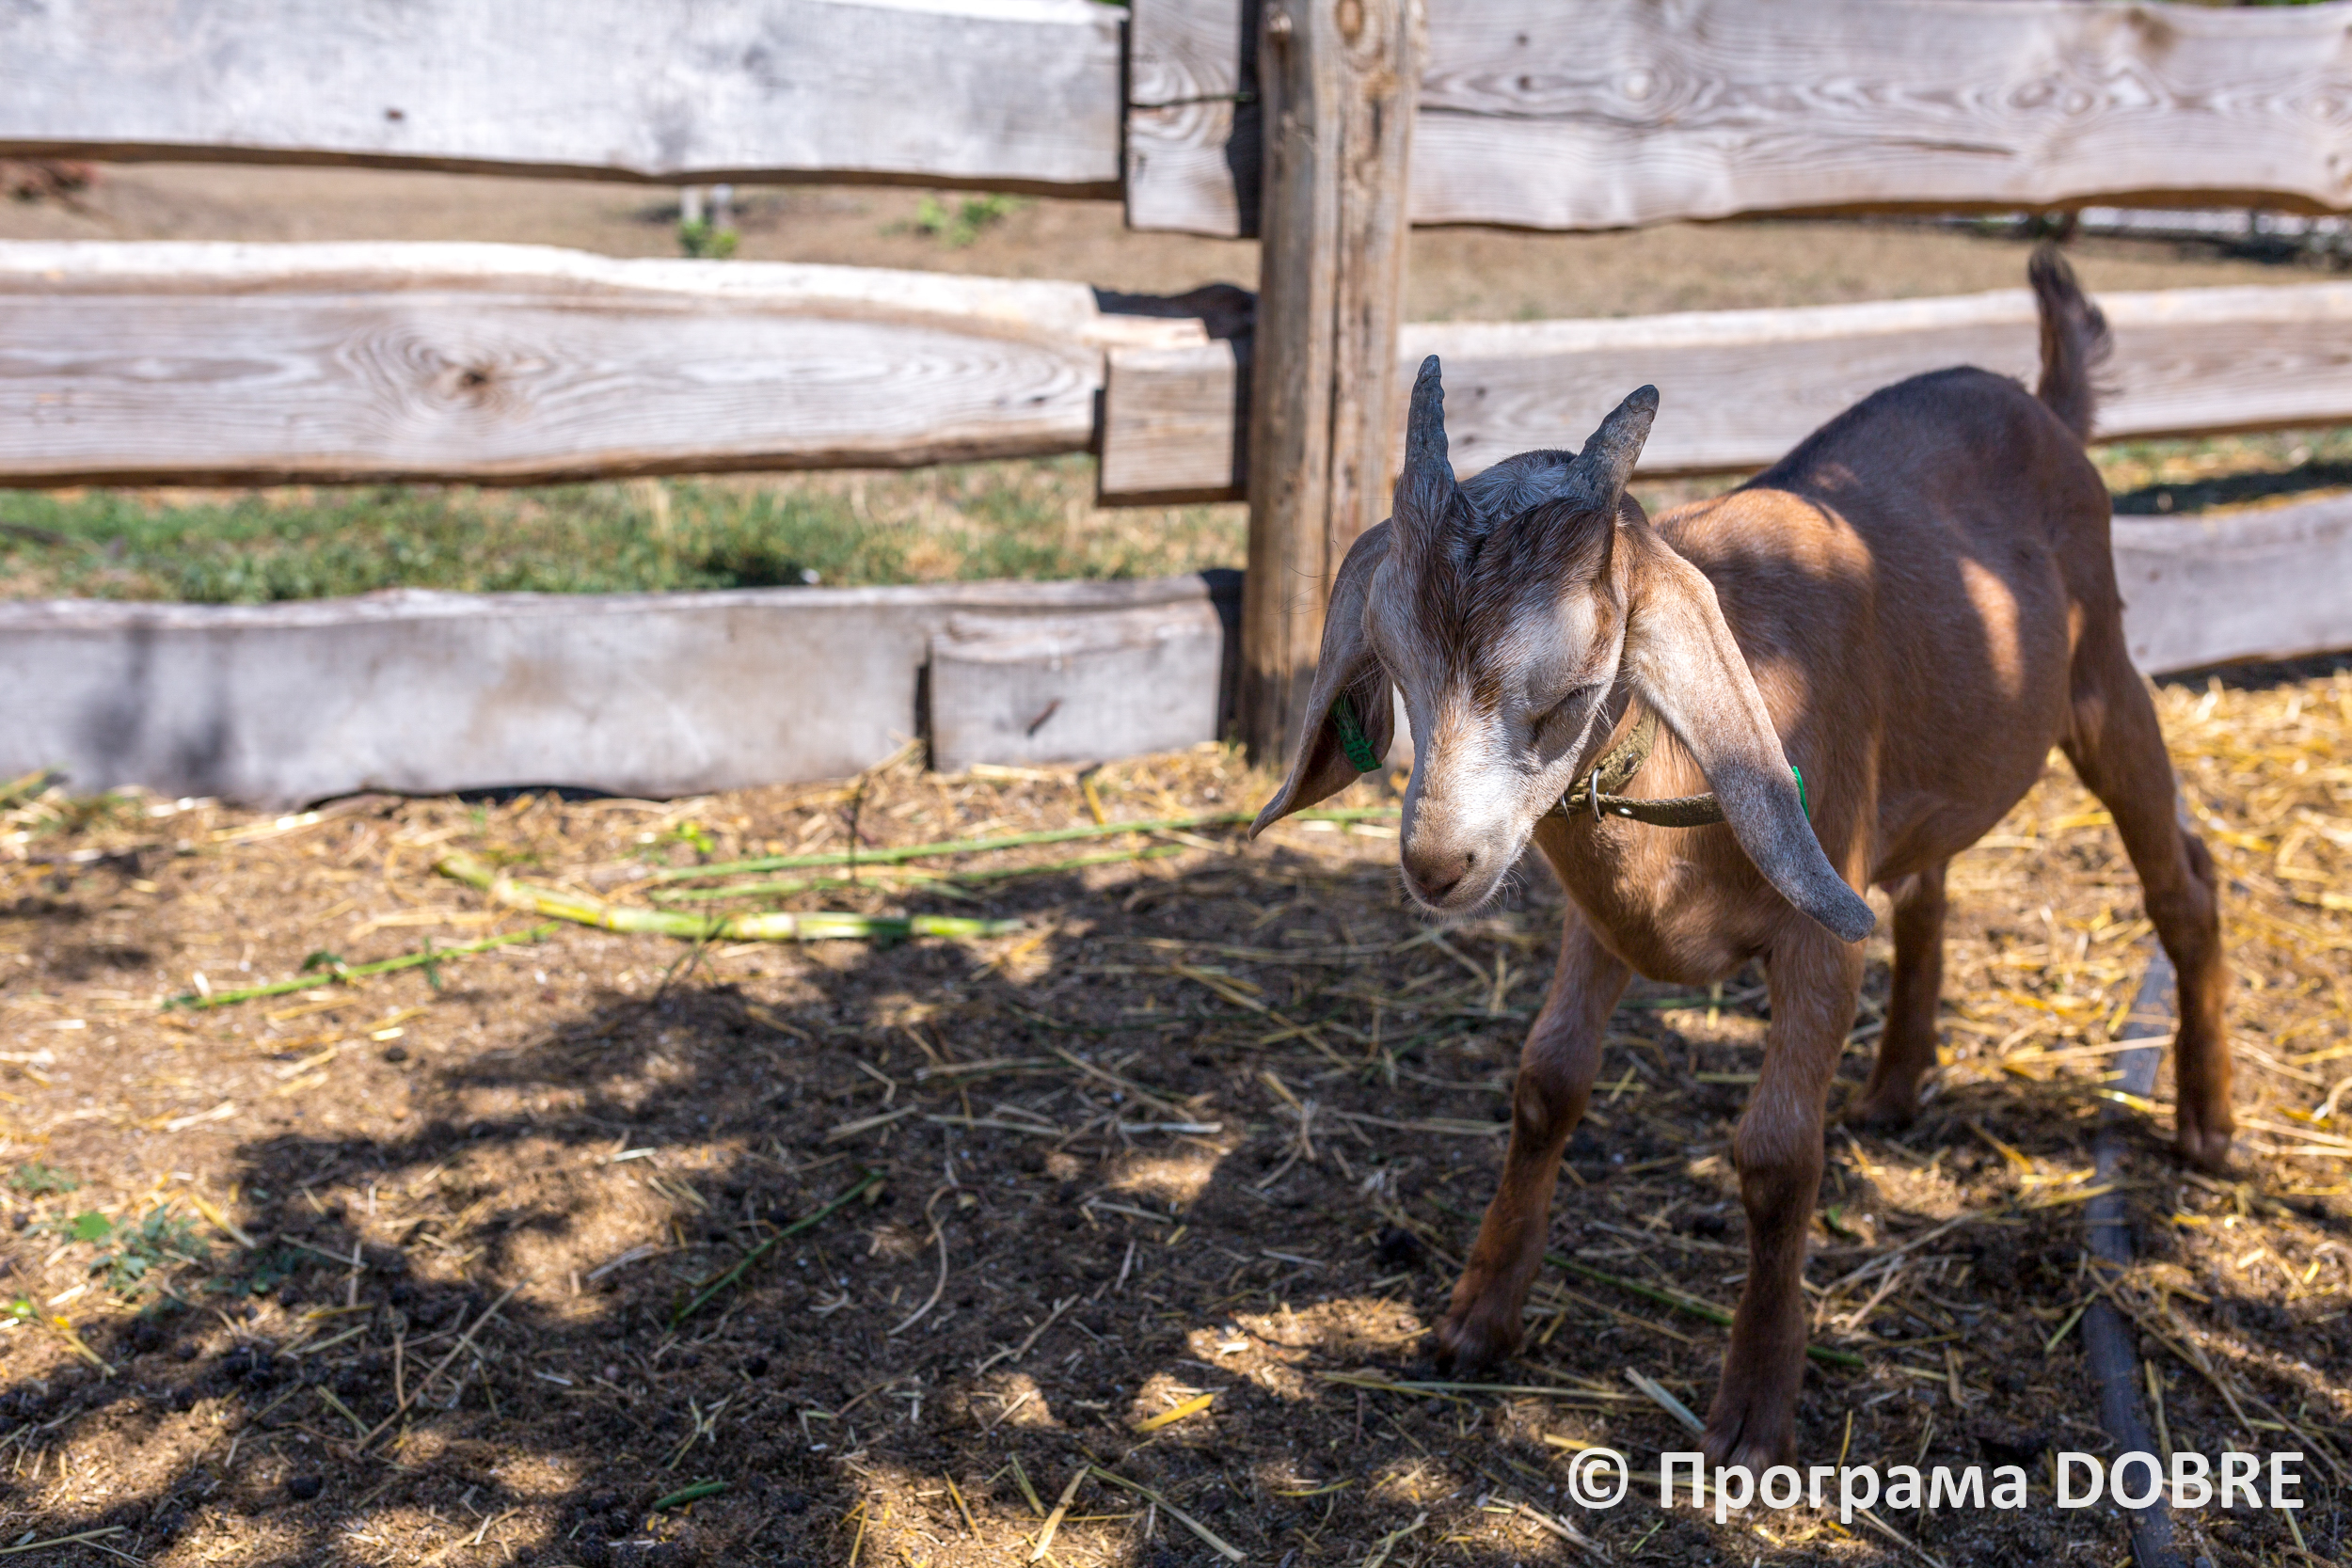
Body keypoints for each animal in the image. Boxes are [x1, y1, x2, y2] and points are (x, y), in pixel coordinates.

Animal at [1249, 247, 2231, 1470]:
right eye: (1395, 667)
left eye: (1574, 687)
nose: (1438, 862)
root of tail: (2040, 402)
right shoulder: (1603, 917)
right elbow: (1545, 1082)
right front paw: (1475, 1319)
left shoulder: (1816, 928)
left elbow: (1773, 1155)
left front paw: (1753, 1410)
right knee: (1926, 885)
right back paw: (1895, 1084)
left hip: (2103, 679)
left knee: (2183, 878)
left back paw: (2207, 1124)